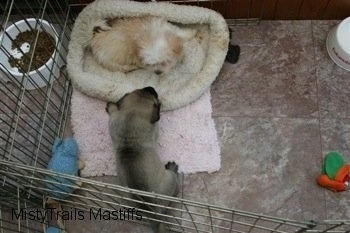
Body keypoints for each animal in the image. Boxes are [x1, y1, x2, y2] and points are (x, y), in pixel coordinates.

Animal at [105, 86, 179, 232]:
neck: (132, 114)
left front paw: (111, 106)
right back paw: (173, 168)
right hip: (170, 179)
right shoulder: (154, 128)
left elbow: (114, 111)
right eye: (154, 100)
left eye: (136, 89)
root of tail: (154, 214)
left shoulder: (115, 119)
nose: (151, 87)